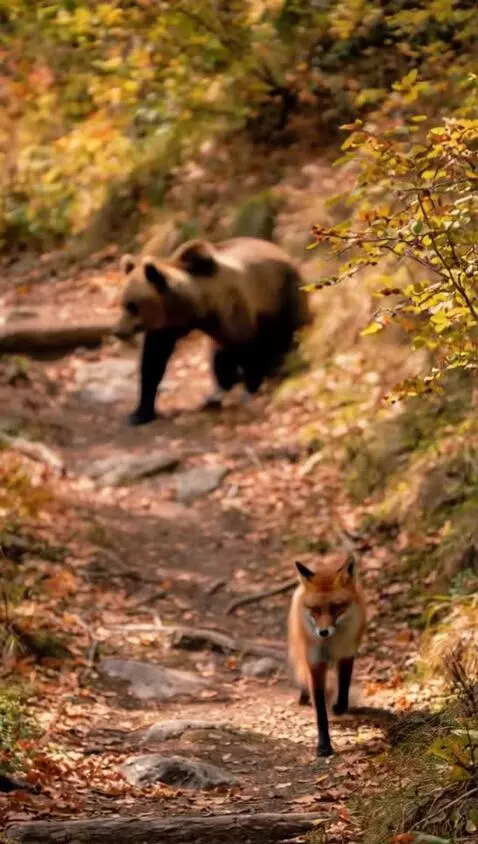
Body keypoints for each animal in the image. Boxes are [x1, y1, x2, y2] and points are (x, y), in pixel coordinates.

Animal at [113, 236, 311, 425]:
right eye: (123, 303)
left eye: (133, 306)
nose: (117, 330)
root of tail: (284, 253)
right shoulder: (168, 327)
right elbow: (153, 360)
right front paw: (140, 413)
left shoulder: (232, 308)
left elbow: (247, 349)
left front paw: (251, 387)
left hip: (283, 297)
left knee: (285, 337)